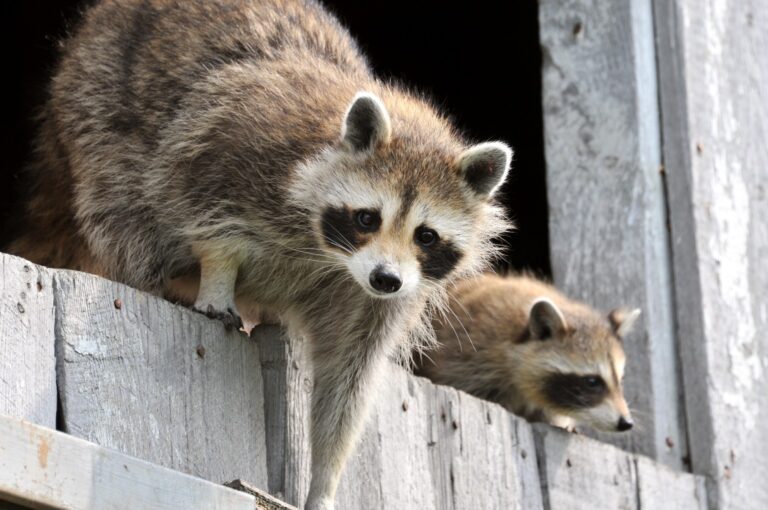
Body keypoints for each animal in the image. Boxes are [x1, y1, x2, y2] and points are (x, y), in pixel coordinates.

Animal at [9, 1, 512, 508]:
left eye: (425, 236)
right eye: (368, 218)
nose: (386, 278)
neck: (330, 254)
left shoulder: (375, 299)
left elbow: (348, 380)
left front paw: (325, 479)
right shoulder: (237, 144)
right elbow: (202, 206)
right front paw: (217, 276)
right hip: (95, 96)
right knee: (120, 203)